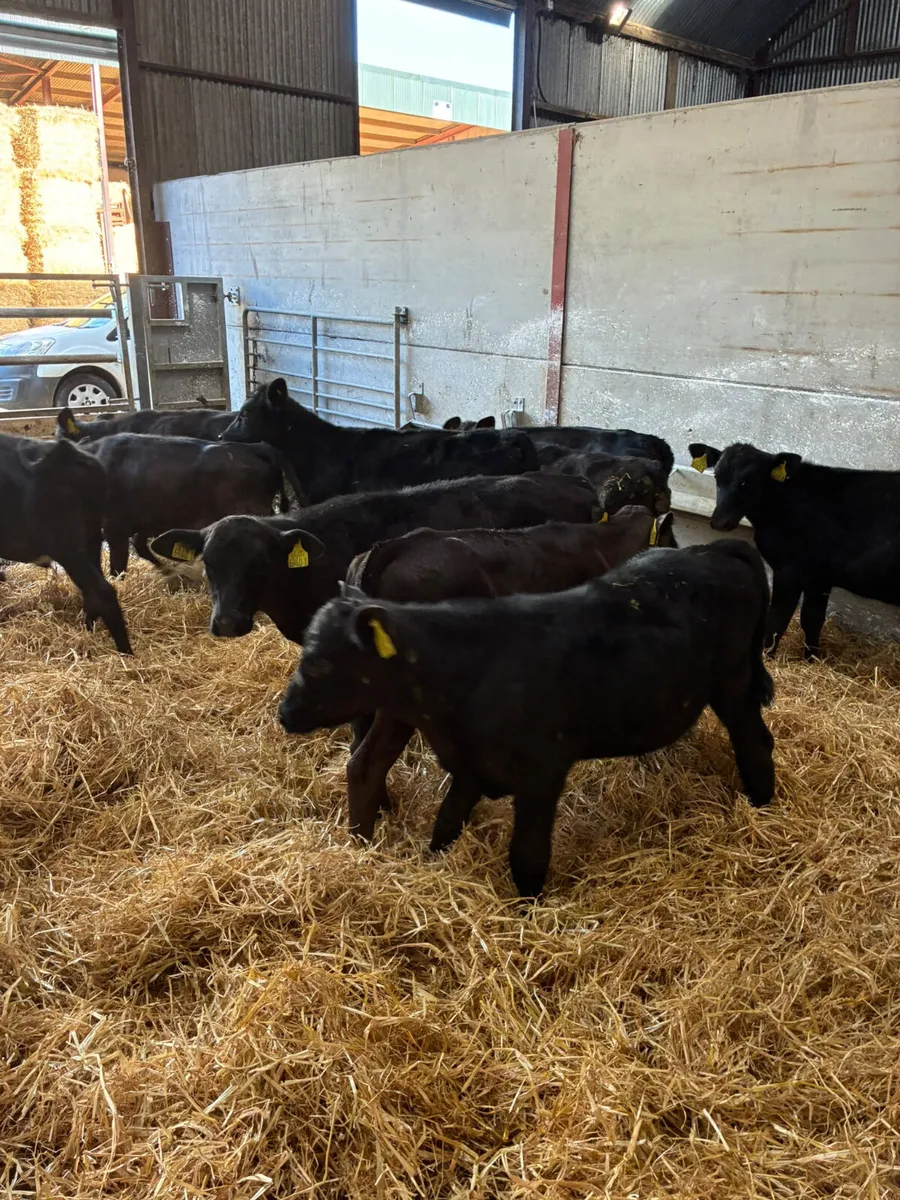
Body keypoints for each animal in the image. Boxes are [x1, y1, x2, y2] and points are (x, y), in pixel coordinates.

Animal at [0, 434, 131, 653]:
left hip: (68, 547)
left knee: (103, 592)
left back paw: (126, 653)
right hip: (90, 540)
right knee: (92, 594)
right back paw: (88, 632)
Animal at [278, 539, 776, 896]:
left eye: (320, 663)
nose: (283, 714)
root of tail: (711, 548)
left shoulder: (542, 773)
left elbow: (527, 856)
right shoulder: (471, 766)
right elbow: (445, 826)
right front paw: (436, 868)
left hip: (733, 684)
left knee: (755, 740)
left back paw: (763, 806)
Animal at [689, 440, 900, 659]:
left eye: (748, 480)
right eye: (717, 476)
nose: (719, 521)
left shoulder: (789, 571)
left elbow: (776, 620)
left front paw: (767, 656)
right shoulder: (819, 577)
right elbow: (812, 620)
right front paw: (811, 659)